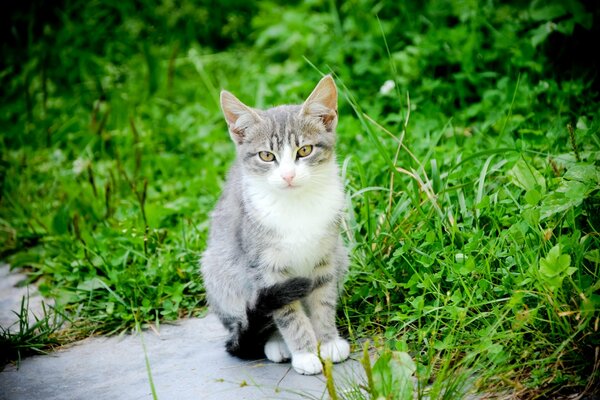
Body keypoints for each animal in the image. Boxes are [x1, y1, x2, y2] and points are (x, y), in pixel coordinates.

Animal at [202, 75, 352, 376]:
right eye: (266, 156)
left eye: (304, 150)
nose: (288, 175)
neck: (296, 206)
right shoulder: (267, 270)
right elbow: (287, 314)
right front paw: (305, 353)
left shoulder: (325, 259)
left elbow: (323, 302)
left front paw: (328, 341)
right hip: (219, 270)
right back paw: (276, 344)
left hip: (341, 253)